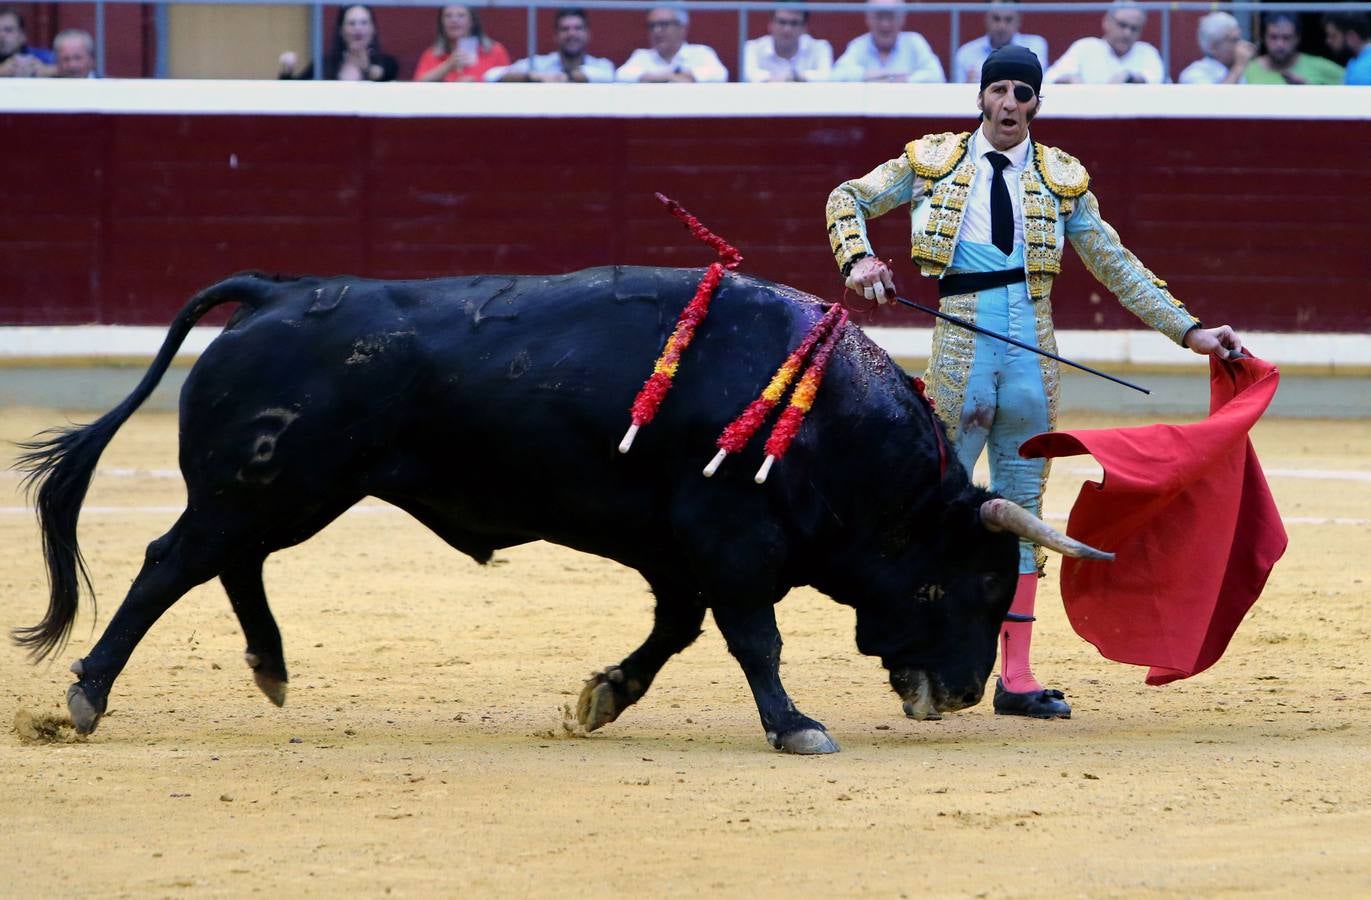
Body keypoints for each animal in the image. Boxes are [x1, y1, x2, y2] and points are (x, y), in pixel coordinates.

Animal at [16, 264, 1102, 751]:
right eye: (974, 584)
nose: (959, 692)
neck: (829, 426)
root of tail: (279, 294)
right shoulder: (730, 544)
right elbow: (755, 639)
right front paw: (796, 725)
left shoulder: (678, 552)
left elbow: (675, 632)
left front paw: (602, 696)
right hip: (262, 486)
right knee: (171, 564)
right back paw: (87, 697)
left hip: (283, 492)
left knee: (230, 563)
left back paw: (272, 669)